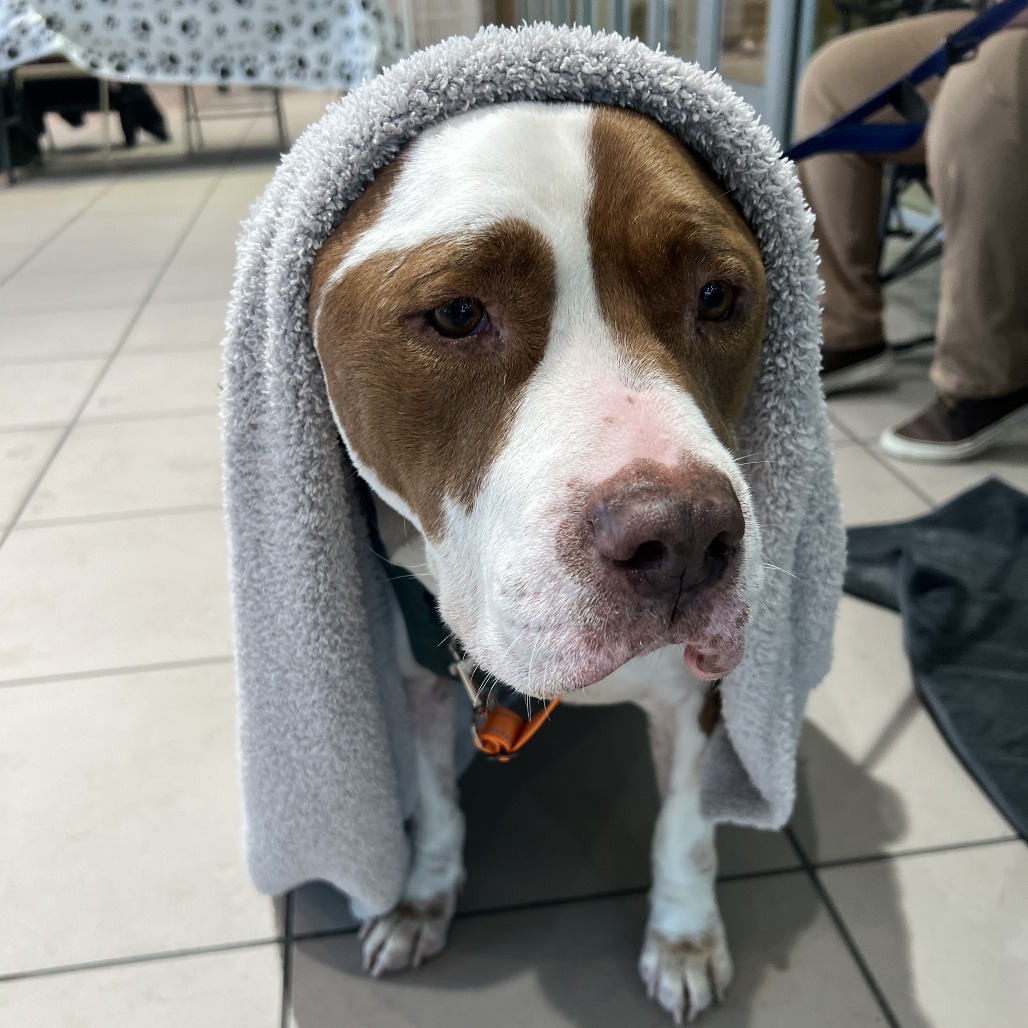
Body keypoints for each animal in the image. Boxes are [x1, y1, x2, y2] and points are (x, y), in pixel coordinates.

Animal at [308, 100, 768, 1023]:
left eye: (717, 296)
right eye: (457, 313)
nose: (684, 539)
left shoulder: (695, 695)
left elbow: (686, 829)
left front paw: (684, 937)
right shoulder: (413, 678)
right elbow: (436, 800)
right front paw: (422, 896)